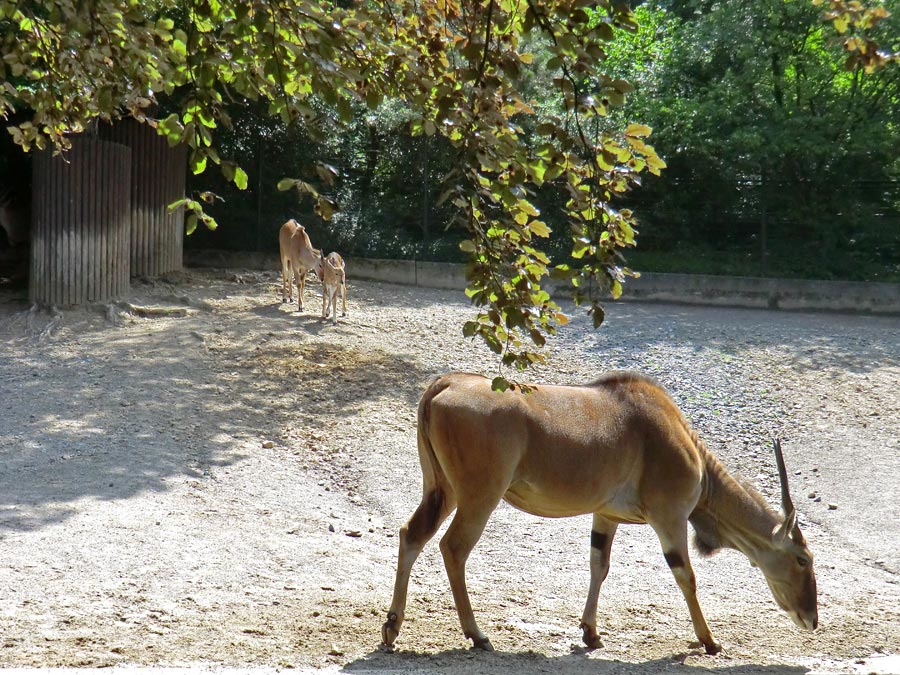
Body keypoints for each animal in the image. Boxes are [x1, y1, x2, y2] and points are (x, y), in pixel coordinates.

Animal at [384, 372, 820, 656]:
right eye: (803, 558)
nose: (811, 619)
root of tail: (444, 384)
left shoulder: (605, 516)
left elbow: (599, 565)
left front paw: (591, 633)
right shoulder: (670, 518)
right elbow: (687, 576)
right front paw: (710, 641)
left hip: (442, 491)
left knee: (411, 534)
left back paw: (392, 627)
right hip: (479, 497)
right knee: (453, 548)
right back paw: (477, 635)